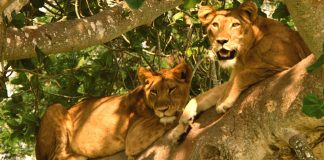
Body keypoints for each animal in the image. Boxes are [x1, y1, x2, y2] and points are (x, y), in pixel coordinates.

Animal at [35, 62, 192, 160]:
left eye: (171, 89)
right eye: (154, 92)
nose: (162, 109)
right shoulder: (134, 137)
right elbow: (170, 118)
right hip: (55, 108)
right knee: (56, 156)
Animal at [170, 1, 312, 141]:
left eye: (235, 24)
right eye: (215, 25)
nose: (221, 41)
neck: (245, 54)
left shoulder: (285, 64)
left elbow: (243, 76)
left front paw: (224, 102)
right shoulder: (233, 76)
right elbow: (206, 95)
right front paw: (182, 121)